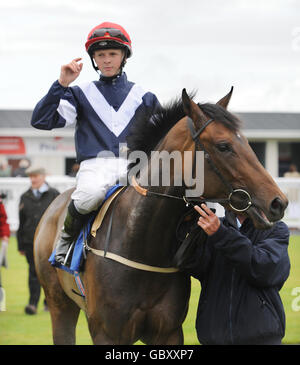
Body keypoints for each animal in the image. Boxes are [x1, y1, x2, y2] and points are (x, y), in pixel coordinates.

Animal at [33, 89, 288, 344]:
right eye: (223, 146)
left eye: (246, 142)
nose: (278, 202)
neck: (141, 245)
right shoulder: (106, 333)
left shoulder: (169, 332)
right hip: (59, 305)